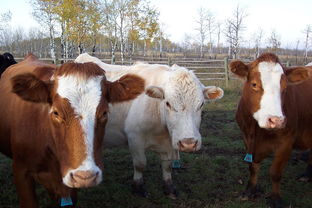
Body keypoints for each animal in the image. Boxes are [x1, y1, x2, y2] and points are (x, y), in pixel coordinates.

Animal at [74, 52, 223, 198]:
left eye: (201, 104)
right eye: (168, 103)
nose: (188, 143)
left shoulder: (169, 141)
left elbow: (167, 165)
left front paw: (169, 188)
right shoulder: (135, 138)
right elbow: (140, 164)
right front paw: (138, 187)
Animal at [230, 52, 312, 207]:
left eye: (285, 88)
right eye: (254, 84)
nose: (276, 120)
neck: (257, 131)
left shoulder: (286, 143)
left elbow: (275, 172)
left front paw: (275, 199)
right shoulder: (246, 138)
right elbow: (252, 167)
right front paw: (250, 191)